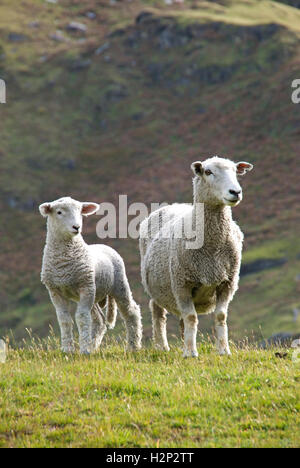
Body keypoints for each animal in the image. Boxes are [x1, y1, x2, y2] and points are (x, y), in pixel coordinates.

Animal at [39, 197, 142, 354]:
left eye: (80, 211)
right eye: (59, 212)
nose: (77, 227)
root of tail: (104, 245)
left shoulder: (85, 287)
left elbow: (82, 318)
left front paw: (84, 351)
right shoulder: (55, 291)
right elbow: (64, 319)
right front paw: (67, 350)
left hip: (118, 285)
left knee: (131, 312)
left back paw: (133, 347)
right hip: (95, 292)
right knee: (99, 321)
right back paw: (93, 345)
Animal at [139, 155, 252, 356]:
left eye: (235, 171)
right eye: (208, 172)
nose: (236, 192)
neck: (212, 249)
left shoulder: (227, 283)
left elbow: (220, 316)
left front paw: (223, 350)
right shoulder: (182, 283)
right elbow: (191, 317)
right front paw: (190, 353)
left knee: (182, 319)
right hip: (157, 285)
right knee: (157, 311)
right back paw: (162, 346)